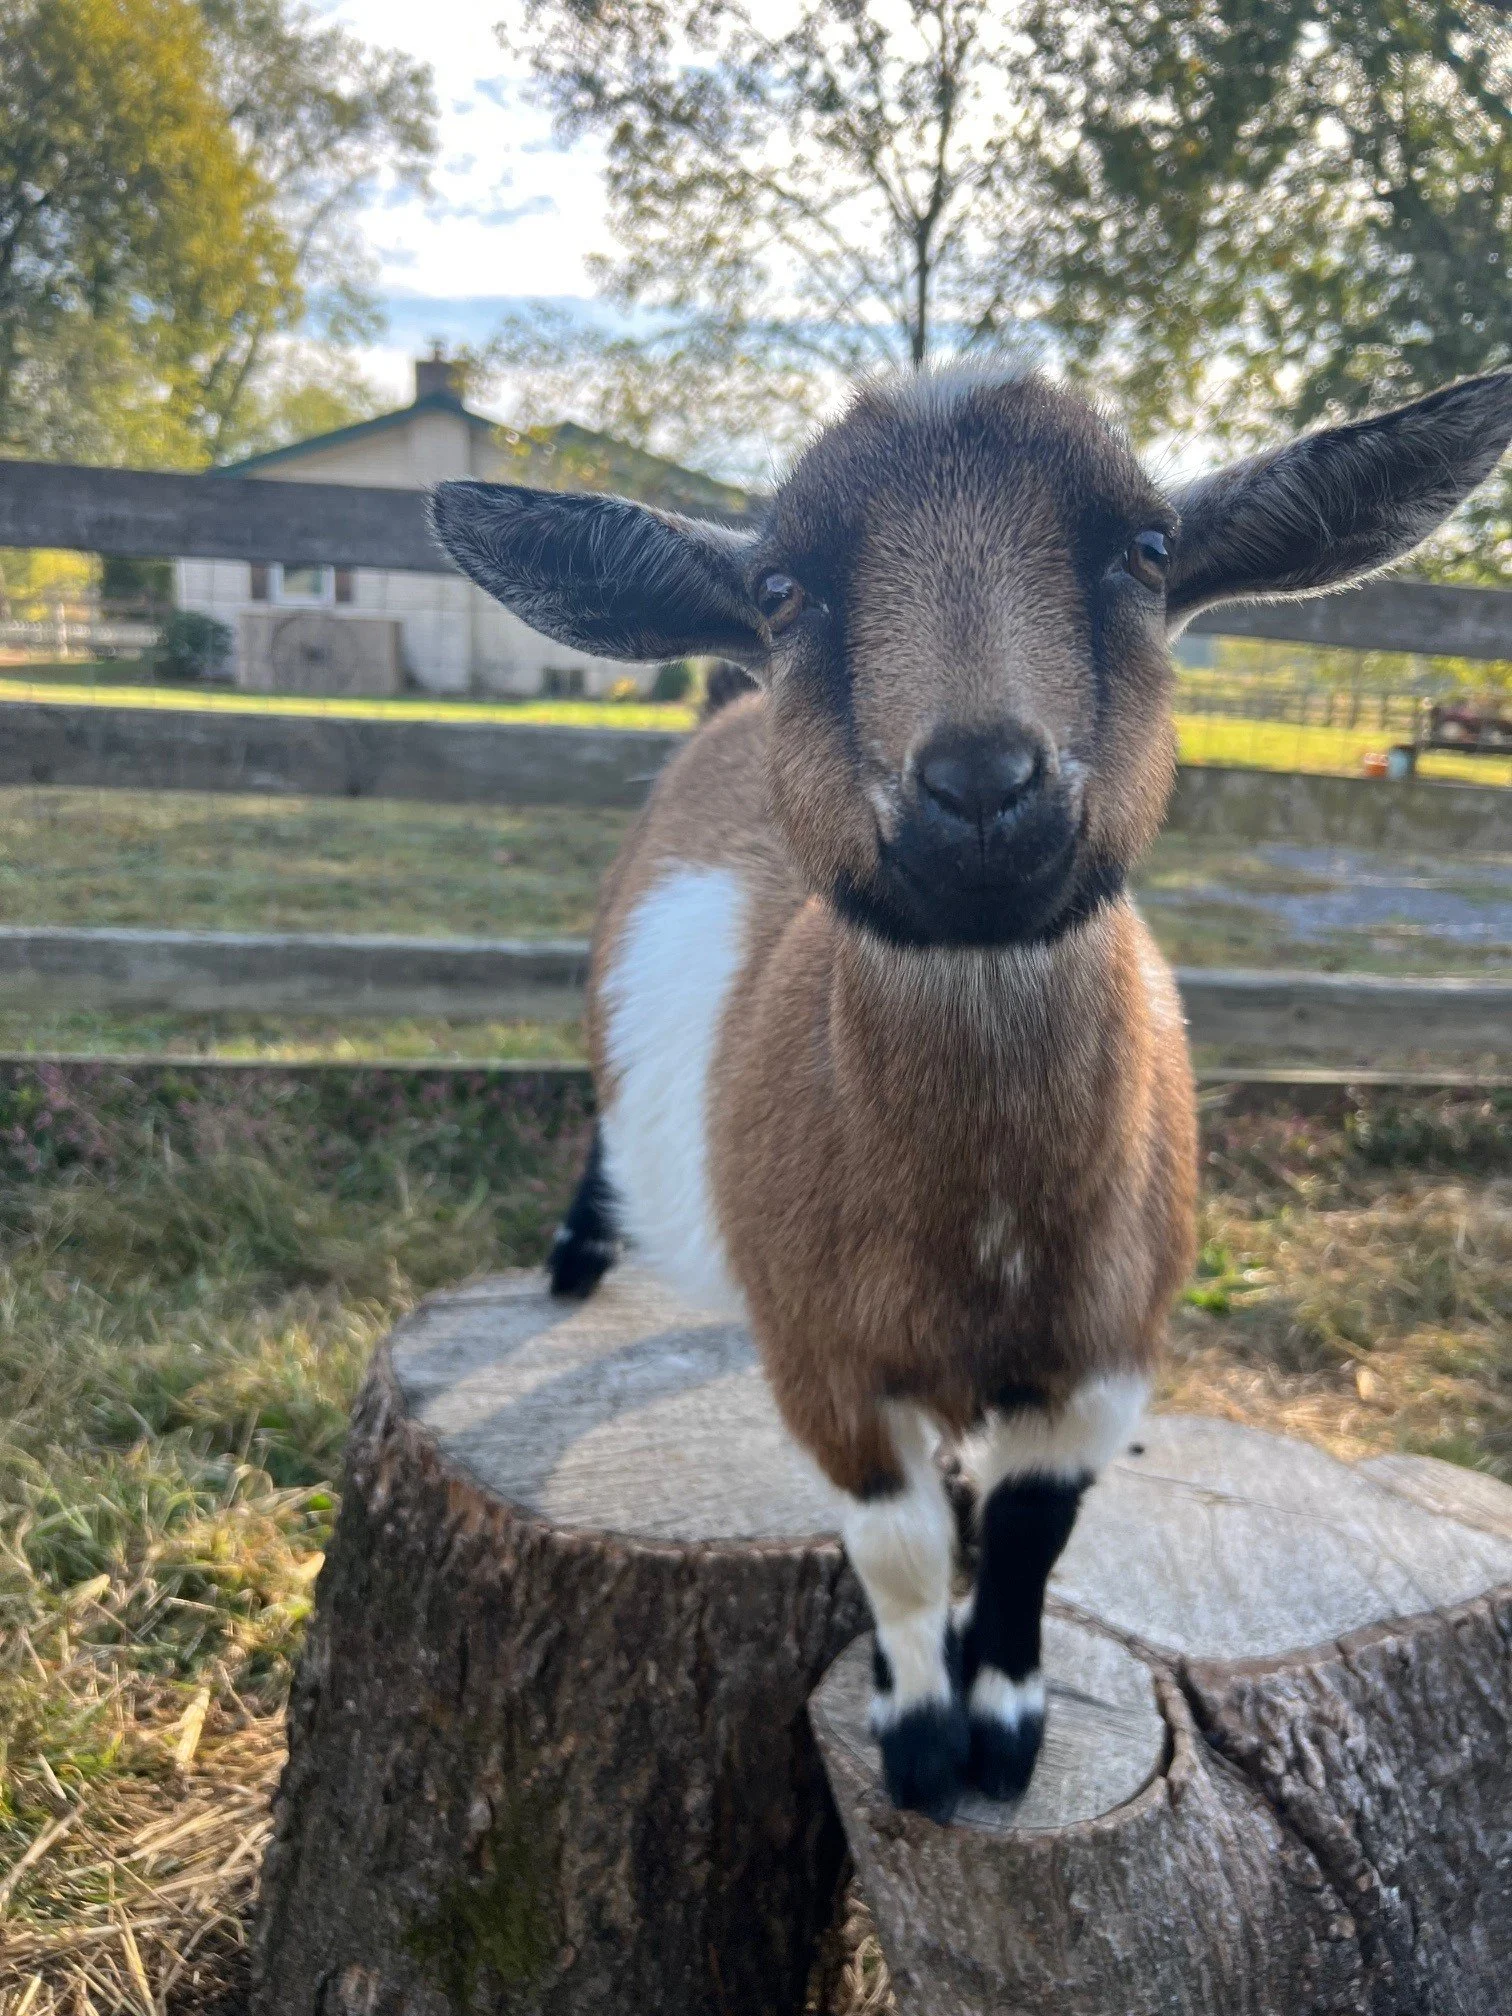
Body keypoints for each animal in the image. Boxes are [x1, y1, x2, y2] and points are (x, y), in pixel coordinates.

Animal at [432, 367, 1512, 1818]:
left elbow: (1028, 1533)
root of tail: (722, 706)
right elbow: (894, 1543)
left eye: (1149, 548)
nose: (983, 784)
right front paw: (919, 1738)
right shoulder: (827, 1366)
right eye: (782, 584)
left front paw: (1004, 1723)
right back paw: (571, 1266)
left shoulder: (1109, 1355)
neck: (978, 1234)